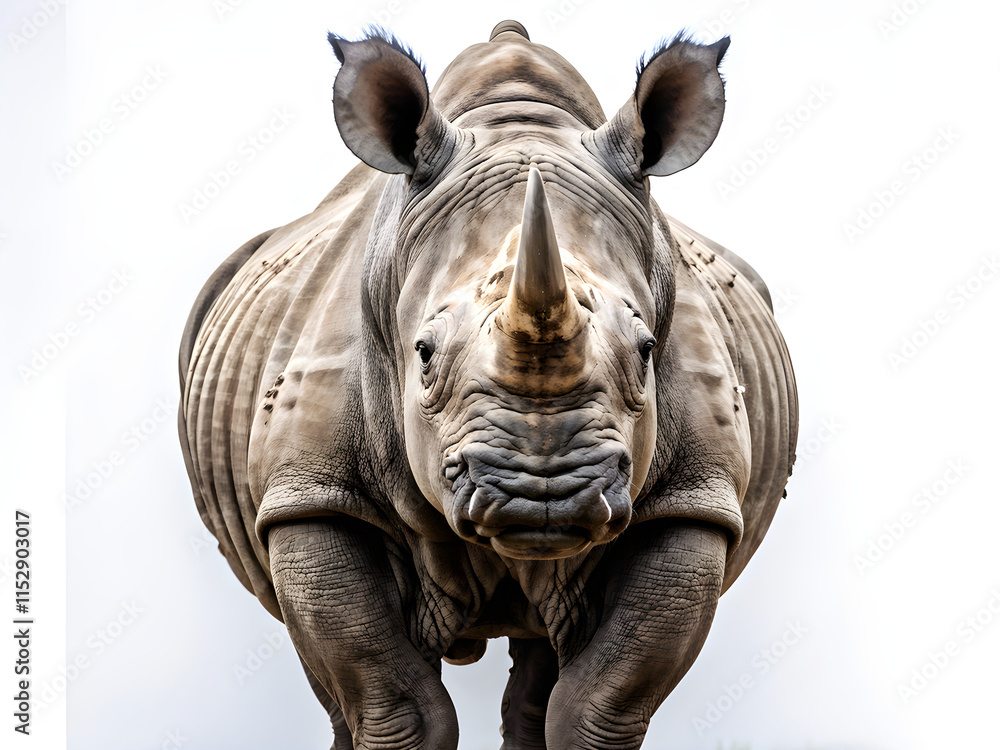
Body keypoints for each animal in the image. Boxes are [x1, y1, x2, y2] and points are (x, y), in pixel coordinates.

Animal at [178, 19, 797, 750]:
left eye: (647, 351)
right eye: (422, 354)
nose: (544, 496)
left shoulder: (692, 501)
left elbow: (599, 704)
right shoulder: (312, 495)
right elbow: (396, 706)